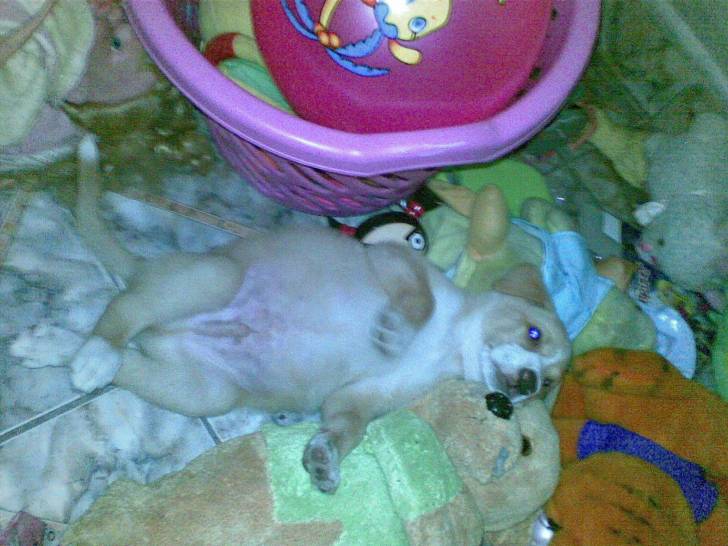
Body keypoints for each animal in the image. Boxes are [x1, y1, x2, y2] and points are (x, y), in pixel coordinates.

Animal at [69, 136, 570, 493]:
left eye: (549, 384)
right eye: (533, 334)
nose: (529, 385)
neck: (446, 343)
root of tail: (145, 269)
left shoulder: (361, 396)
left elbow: (349, 429)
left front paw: (325, 459)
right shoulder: (395, 261)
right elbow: (418, 300)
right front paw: (395, 332)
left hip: (204, 391)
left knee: (131, 361)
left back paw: (70, 353)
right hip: (214, 278)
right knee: (123, 309)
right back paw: (92, 353)